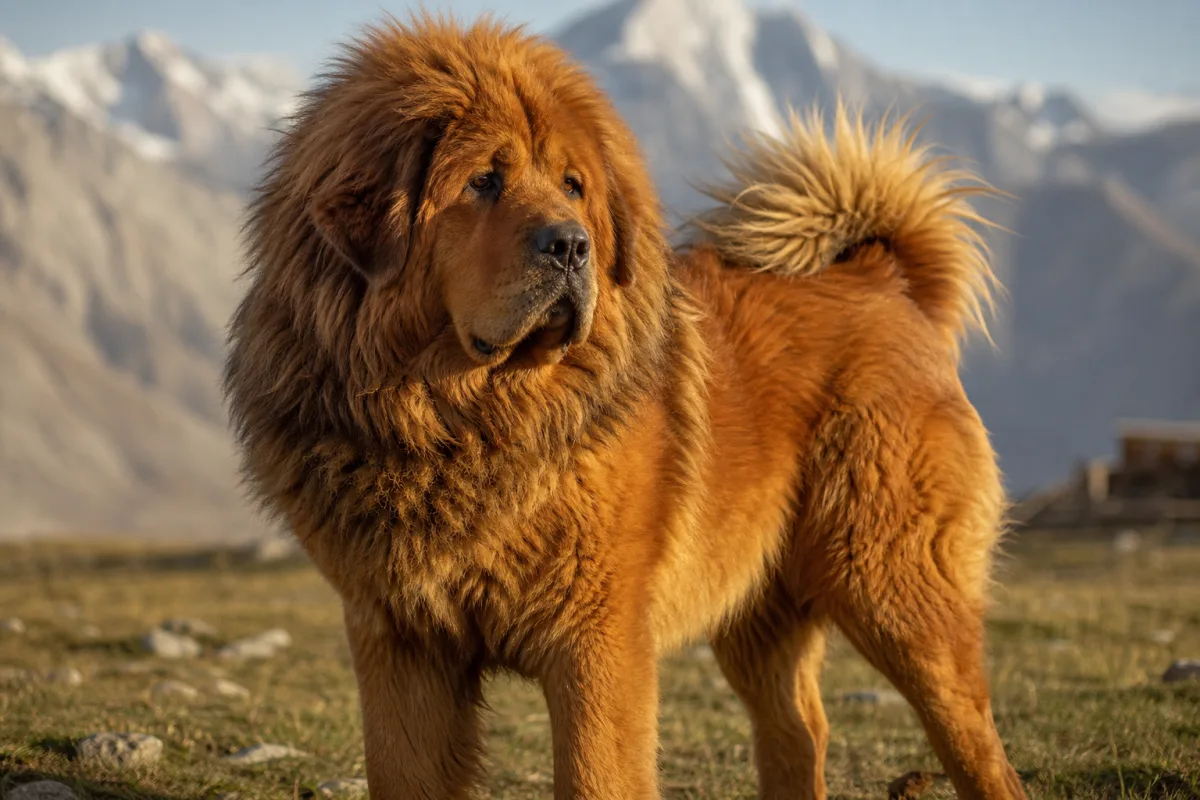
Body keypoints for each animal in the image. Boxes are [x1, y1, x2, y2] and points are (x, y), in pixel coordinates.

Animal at [222, 12, 1027, 800]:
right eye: (483, 181)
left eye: (573, 186)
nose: (571, 246)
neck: (459, 421)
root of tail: (882, 282)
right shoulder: (400, 647)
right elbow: (404, 773)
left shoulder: (595, 642)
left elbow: (595, 775)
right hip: (758, 615)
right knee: (800, 732)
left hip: (895, 589)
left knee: (978, 745)